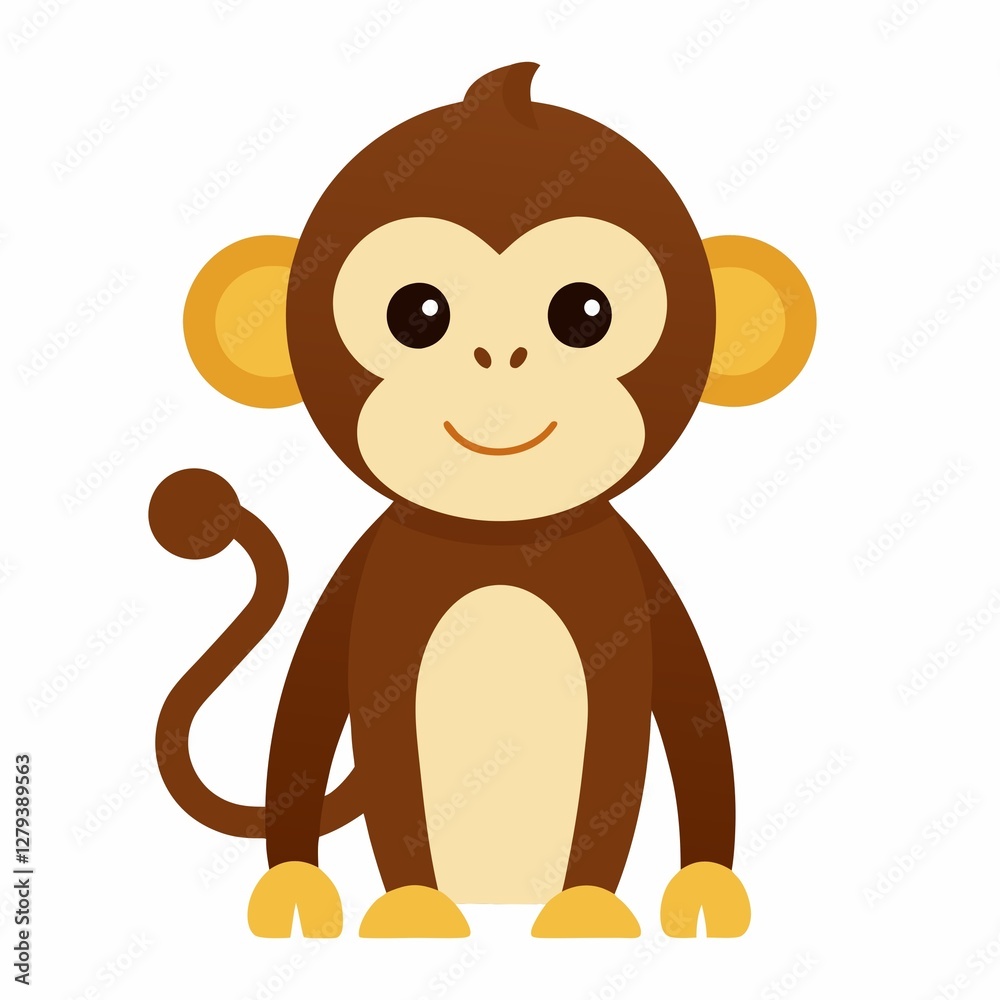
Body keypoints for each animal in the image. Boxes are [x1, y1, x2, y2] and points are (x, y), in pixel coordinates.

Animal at [149, 62, 815, 939]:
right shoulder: (367, 598)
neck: (501, 538)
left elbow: (689, 722)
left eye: (584, 311)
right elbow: (309, 720)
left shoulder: (636, 595)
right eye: (417, 311)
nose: (500, 353)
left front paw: (662, 896)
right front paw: (335, 897)